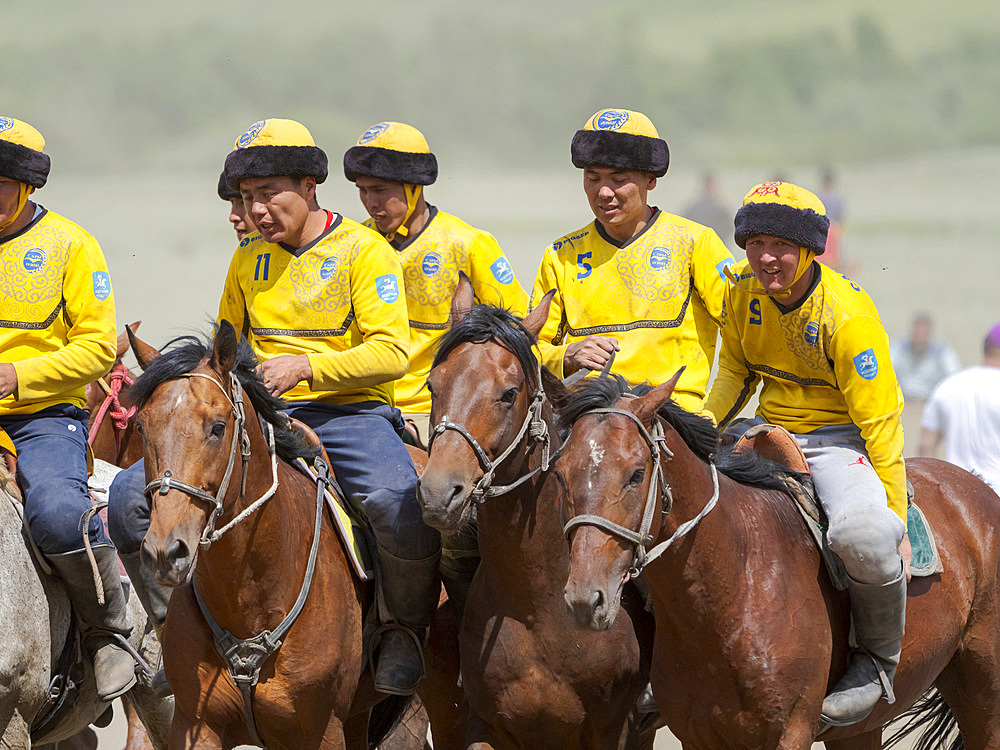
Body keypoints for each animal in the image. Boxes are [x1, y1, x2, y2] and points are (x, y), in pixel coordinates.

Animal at [414, 282, 656, 750]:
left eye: (509, 393)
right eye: (433, 385)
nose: (437, 493)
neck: (537, 608)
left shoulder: (613, 730)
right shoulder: (486, 726)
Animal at [552, 374, 1000, 748]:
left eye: (636, 473)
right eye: (559, 473)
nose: (585, 597)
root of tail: (976, 487)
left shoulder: (790, 731)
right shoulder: (698, 735)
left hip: (984, 696)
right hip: (860, 729)